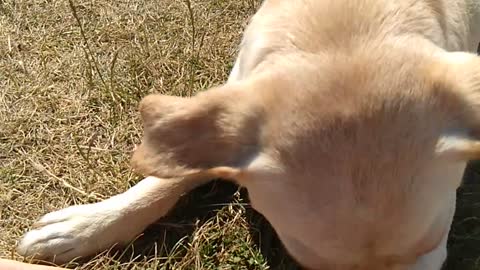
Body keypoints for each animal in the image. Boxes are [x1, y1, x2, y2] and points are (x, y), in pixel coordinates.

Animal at [15, 0, 480, 270]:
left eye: (432, 248)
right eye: (310, 261)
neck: (346, 28)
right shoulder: (233, 93)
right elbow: (172, 169)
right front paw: (88, 225)